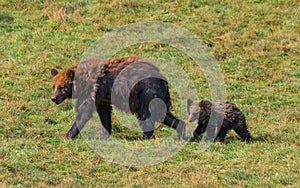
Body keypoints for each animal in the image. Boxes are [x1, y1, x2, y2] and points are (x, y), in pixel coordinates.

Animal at [50, 56, 185, 140]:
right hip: (156, 96)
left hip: (145, 91)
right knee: (163, 114)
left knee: (146, 115)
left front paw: (68, 135)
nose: (53, 98)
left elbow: (84, 111)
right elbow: (104, 114)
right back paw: (181, 129)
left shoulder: (94, 90)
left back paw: (145, 136)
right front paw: (105, 134)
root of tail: (164, 79)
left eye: (62, 87)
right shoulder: (103, 97)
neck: (82, 83)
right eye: (53, 85)